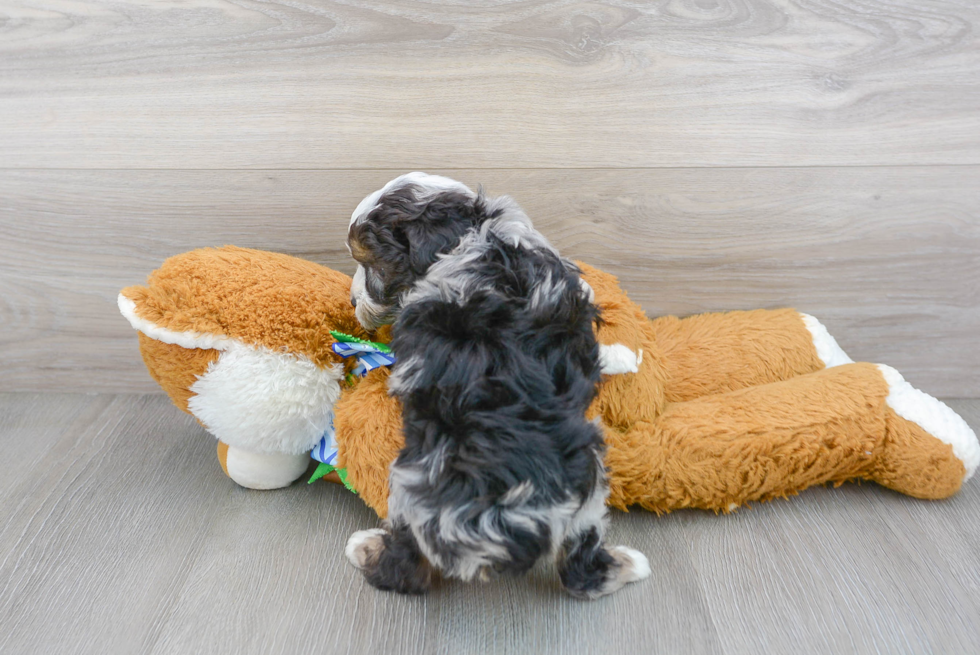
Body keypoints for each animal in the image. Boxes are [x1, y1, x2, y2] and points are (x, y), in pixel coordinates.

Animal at [344, 173, 652, 600]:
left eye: (370, 264)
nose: (351, 300)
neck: (476, 231)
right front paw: (622, 355)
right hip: (585, 485)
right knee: (580, 568)